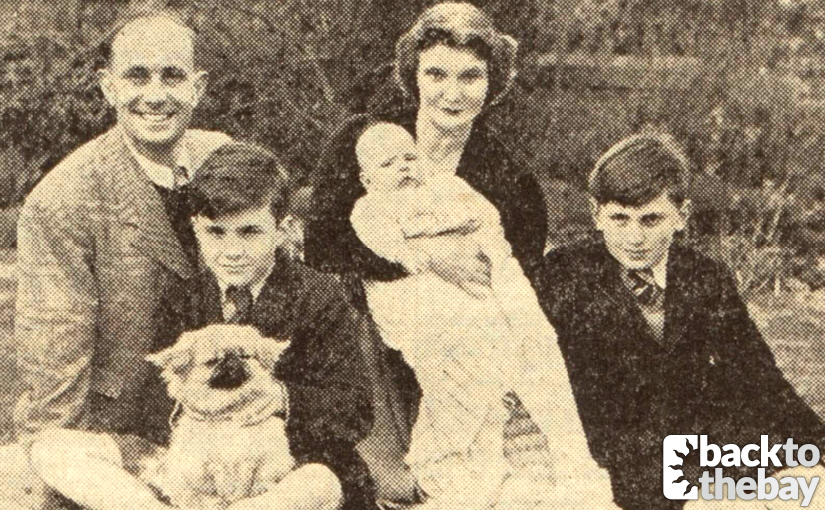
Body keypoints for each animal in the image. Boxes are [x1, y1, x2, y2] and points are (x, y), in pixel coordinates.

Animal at [144, 324, 296, 508]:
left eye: (245, 356)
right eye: (212, 361)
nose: (232, 361)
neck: (229, 412)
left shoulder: (255, 461)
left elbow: (255, 480)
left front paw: (255, 491)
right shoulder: (207, 466)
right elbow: (210, 489)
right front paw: (215, 502)